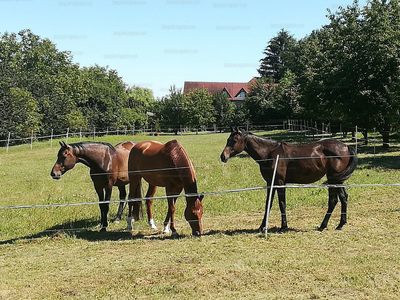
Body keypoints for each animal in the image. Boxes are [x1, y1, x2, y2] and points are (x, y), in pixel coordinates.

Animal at [220, 126, 358, 232]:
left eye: (234, 140)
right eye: (227, 139)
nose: (223, 156)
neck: (269, 154)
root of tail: (346, 147)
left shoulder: (280, 182)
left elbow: (282, 204)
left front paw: (283, 227)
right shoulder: (270, 183)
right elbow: (268, 204)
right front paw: (261, 227)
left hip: (333, 180)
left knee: (333, 201)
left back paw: (322, 226)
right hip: (338, 180)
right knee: (344, 197)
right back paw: (340, 224)